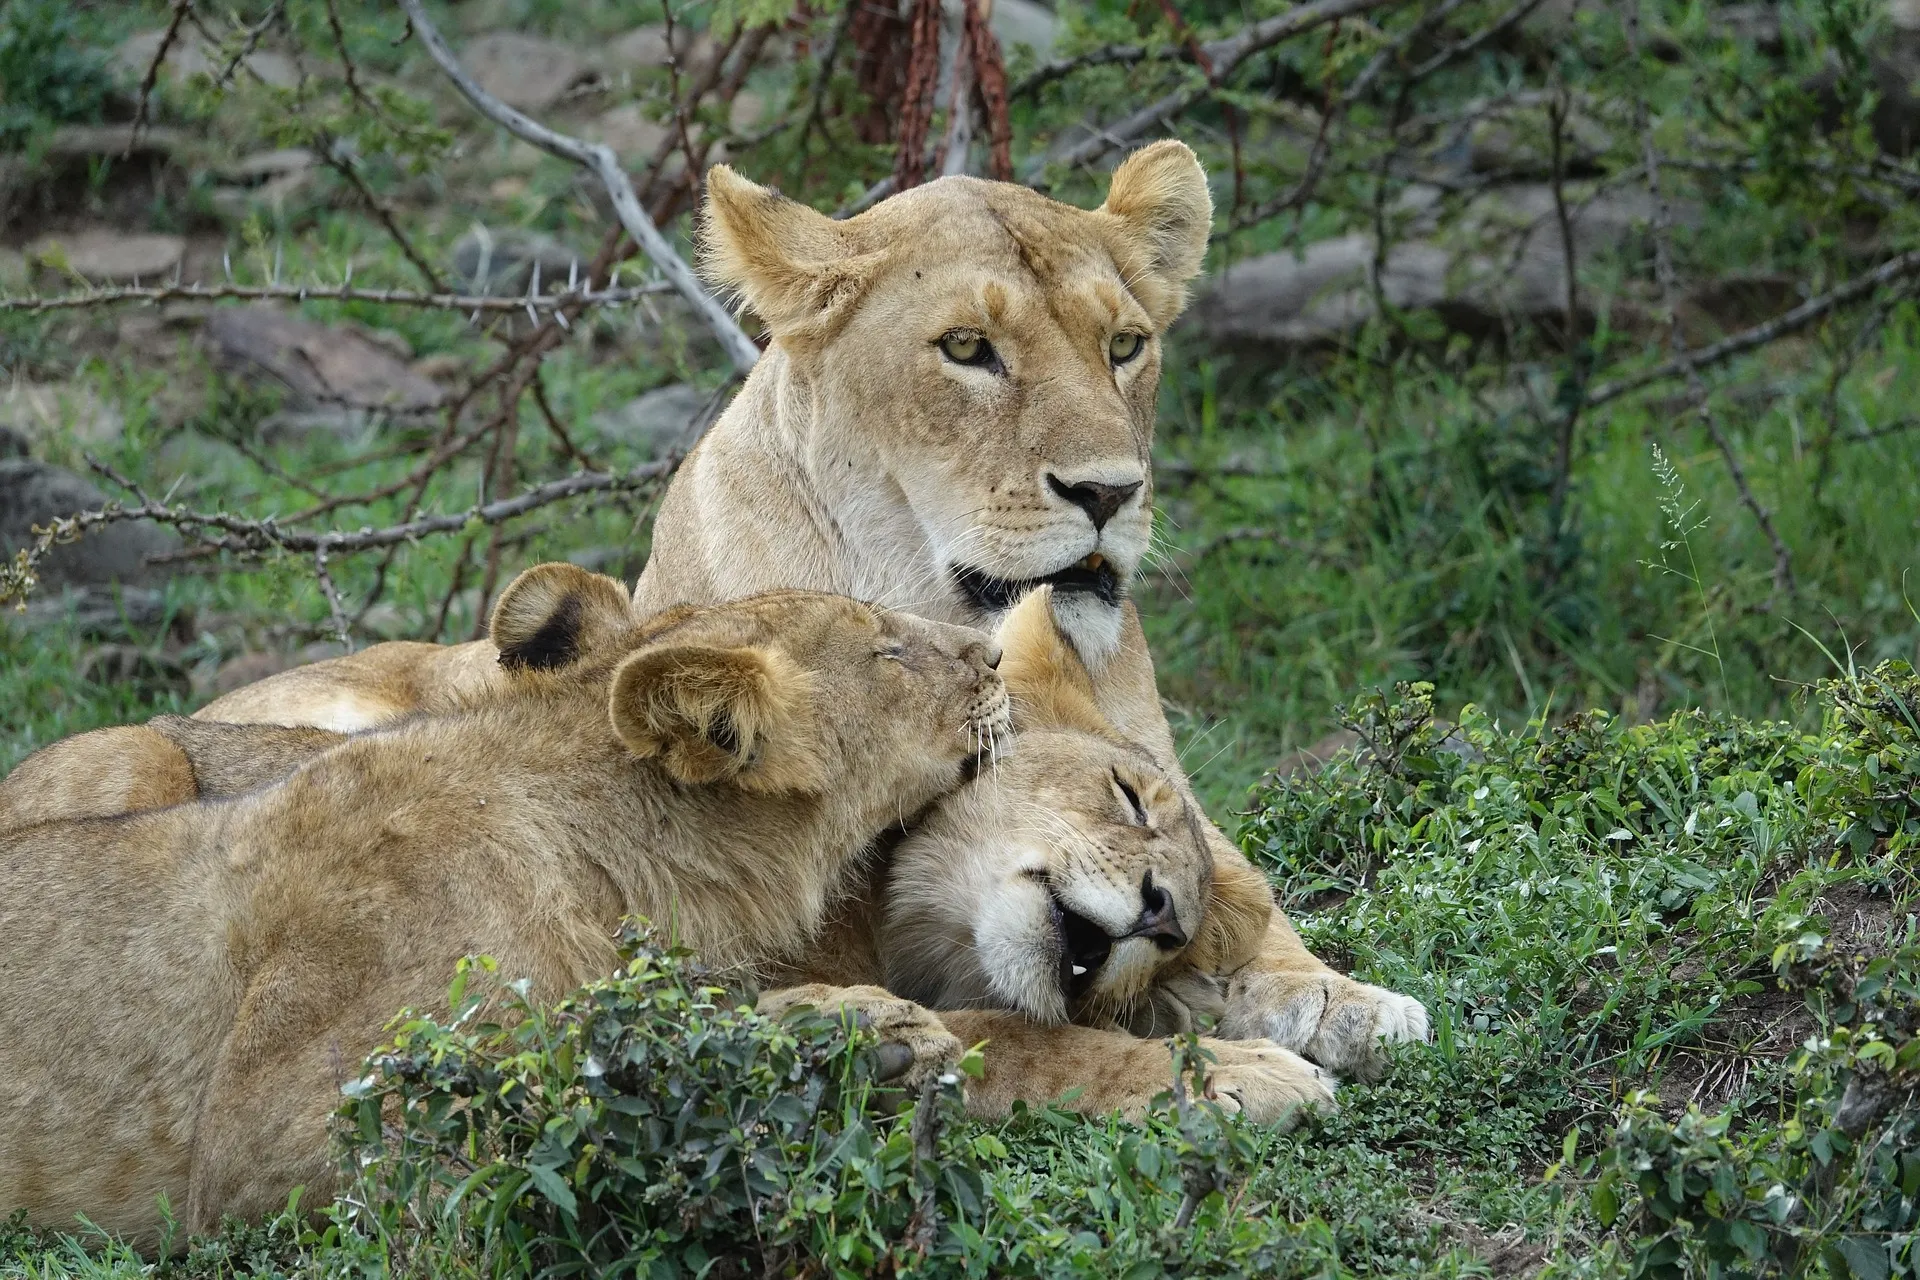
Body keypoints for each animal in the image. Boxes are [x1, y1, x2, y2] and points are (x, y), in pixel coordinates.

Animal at [0, 564, 1013, 1243]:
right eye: (887, 651)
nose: (999, 654)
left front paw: (868, 1036)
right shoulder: (269, 1154)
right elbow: (563, 1104)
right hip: (137, 757)